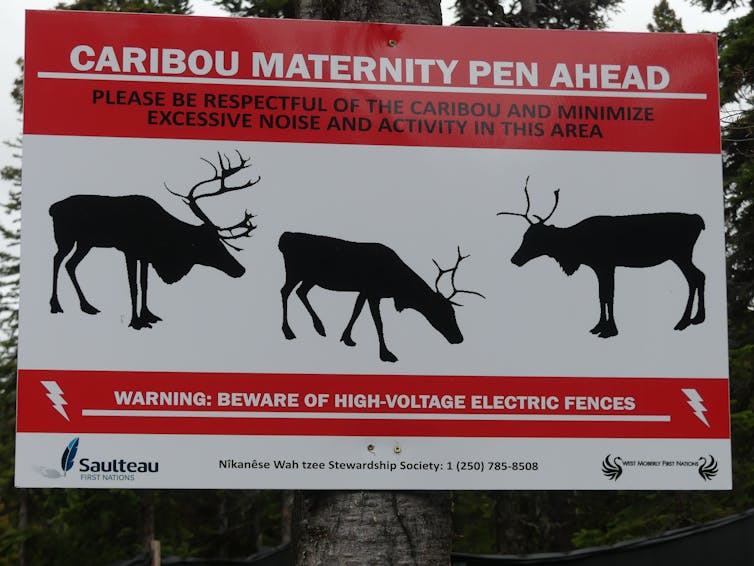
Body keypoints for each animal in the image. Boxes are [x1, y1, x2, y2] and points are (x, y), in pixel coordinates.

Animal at [49, 150, 259, 329]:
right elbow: (133, 286)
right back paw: (56, 305)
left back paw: (87, 306)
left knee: (70, 264)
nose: (240, 269)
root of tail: (52, 208)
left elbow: (145, 284)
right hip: (66, 239)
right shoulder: (130, 251)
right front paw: (135, 321)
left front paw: (148, 315)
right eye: (202, 244)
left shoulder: (145, 255)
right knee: (57, 259)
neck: (161, 236)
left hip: (86, 243)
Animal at [278, 232, 484, 362]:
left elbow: (356, 311)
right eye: (441, 312)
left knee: (300, 292)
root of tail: (284, 238)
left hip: (309, 277)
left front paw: (347, 338)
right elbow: (378, 322)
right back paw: (288, 331)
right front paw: (386, 354)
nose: (459, 338)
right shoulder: (374, 292)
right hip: (295, 271)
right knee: (284, 291)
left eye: (453, 312)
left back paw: (319, 327)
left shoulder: (364, 291)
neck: (397, 288)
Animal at [498, 176, 706, 338]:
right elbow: (601, 295)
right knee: (699, 276)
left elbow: (608, 295)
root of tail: (699, 220)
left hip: (681, 254)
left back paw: (684, 321)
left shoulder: (606, 264)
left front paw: (609, 330)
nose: (515, 259)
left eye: (535, 238)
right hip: (682, 255)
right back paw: (696, 318)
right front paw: (598, 327)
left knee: (695, 277)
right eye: (524, 236)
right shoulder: (599, 267)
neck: (575, 248)